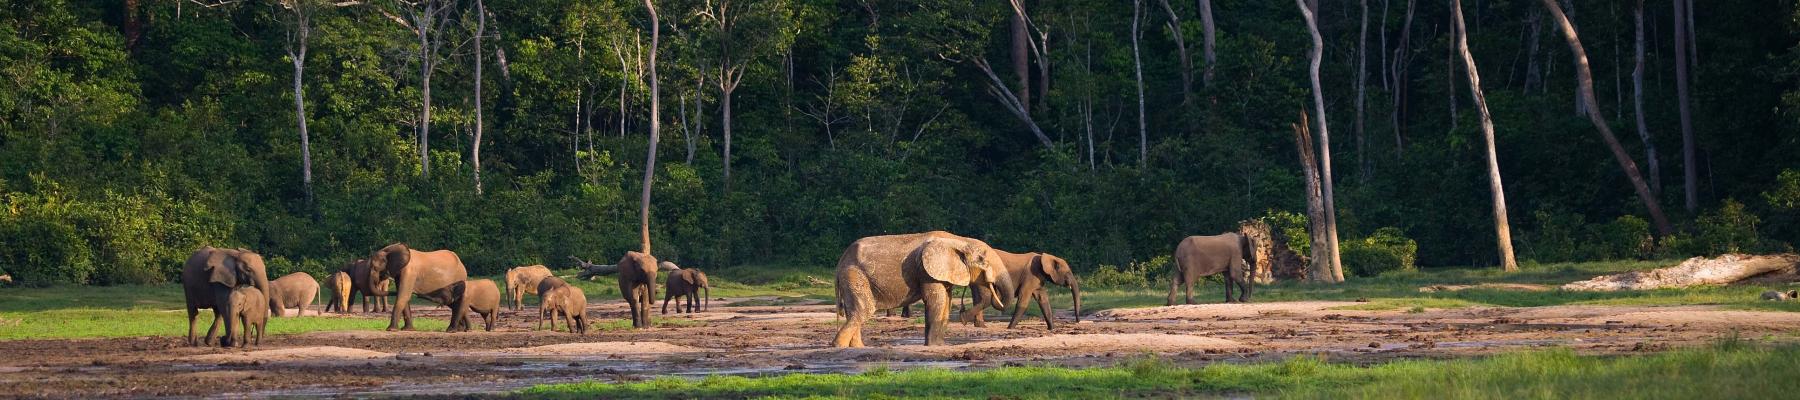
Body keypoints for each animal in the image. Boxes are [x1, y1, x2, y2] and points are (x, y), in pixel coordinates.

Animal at [831, 230, 1008, 347]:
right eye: (982, 261)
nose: (963, 318)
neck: (958, 240)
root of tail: (839, 263)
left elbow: (946, 303)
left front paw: (939, 345)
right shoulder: (927, 272)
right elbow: (936, 301)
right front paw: (934, 346)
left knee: (854, 312)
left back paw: (856, 347)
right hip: (853, 275)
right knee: (864, 310)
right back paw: (838, 346)